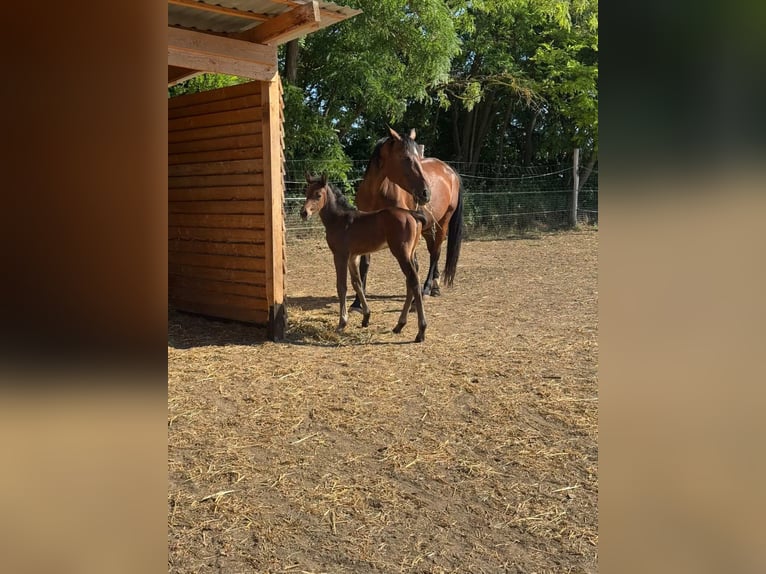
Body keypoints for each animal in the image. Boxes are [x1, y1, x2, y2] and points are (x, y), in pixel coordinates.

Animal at [300, 173, 428, 343]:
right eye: (306, 192)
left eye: (318, 195)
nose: (304, 213)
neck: (339, 219)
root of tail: (412, 214)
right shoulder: (353, 257)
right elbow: (357, 284)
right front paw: (366, 317)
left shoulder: (340, 255)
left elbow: (342, 286)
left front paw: (342, 323)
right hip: (410, 253)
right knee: (410, 282)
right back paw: (399, 325)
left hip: (401, 253)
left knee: (413, 280)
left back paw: (421, 331)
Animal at [350, 126, 464, 315]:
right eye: (405, 157)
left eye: (418, 158)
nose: (426, 193)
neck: (377, 193)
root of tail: (450, 171)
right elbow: (365, 263)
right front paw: (357, 302)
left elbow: (413, 265)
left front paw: (414, 301)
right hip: (427, 227)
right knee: (433, 249)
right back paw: (435, 287)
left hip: (443, 223)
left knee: (435, 253)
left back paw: (426, 289)